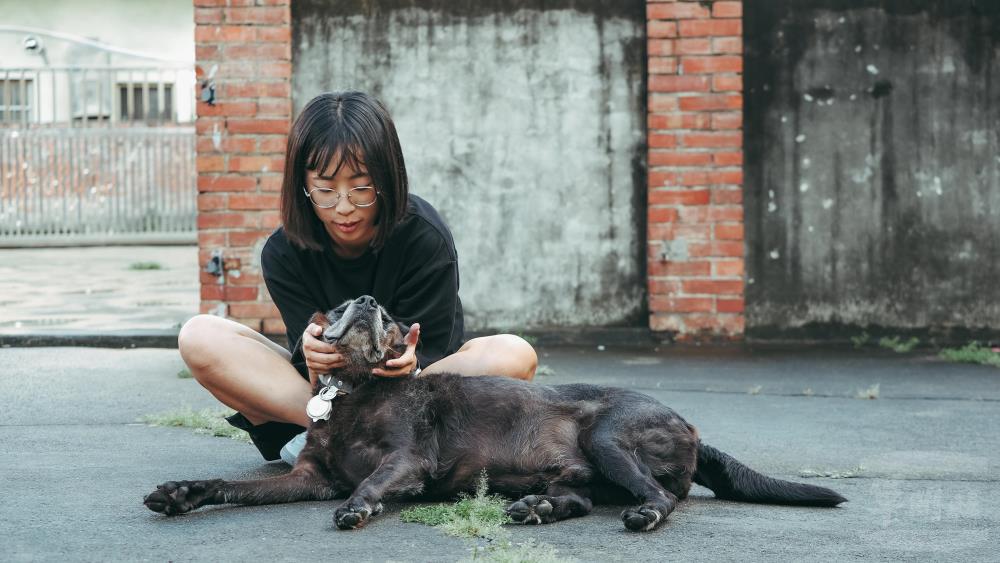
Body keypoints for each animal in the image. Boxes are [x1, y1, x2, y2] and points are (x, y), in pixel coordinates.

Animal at [143, 298, 844, 532]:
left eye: (390, 317)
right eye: (340, 306)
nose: (367, 301)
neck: (357, 392)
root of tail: (691, 426)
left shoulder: (408, 459)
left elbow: (372, 483)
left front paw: (359, 509)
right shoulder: (306, 478)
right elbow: (232, 486)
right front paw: (181, 493)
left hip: (611, 438)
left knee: (661, 497)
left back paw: (640, 514)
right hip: (578, 472)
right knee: (581, 499)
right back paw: (538, 508)